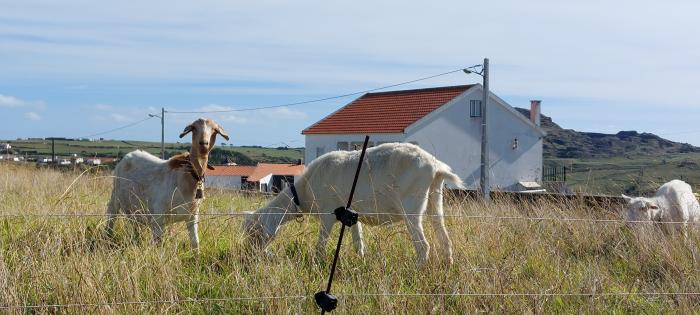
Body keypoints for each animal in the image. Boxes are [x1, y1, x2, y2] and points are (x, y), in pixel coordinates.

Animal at [105, 117, 230, 253]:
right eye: (194, 128)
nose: (203, 144)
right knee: (111, 216)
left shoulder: (193, 215)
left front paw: (197, 256)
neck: (188, 175)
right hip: (115, 196)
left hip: (134, 206)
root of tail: (129, 155)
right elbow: (159, 242)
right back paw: (107, 237)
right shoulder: (159, 214)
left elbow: (195, 242)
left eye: (215, 130)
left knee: (135, 224)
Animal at [241, 144, 464, 266]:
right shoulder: (353, 214)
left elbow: (321, 241)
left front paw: (317, 262)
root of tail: (436, 167)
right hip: (435, 197)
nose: (249, 256)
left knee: (423, 245)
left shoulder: (328, 212)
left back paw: (418, 269)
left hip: (411, 204)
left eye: (254, 232)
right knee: (444, 237)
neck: (302, 192)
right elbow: (358, 241)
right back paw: (448, 264)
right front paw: (361, 260)